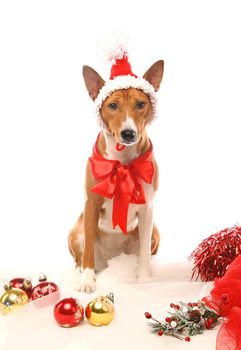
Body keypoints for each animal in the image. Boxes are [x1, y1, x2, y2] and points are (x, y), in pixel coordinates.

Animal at [68, 47, 165, 292]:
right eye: (113, 106)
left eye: (140, 104)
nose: (128, 133)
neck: (122, 162)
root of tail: (113, 261)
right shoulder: (91, 204)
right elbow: (88, 251)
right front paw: (87, 281)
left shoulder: (148, 208)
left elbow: (144, 253)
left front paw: (145, 281)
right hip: (76, 231)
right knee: (81, 254)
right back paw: (81, 272)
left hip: (154, 233)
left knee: (144, 253)